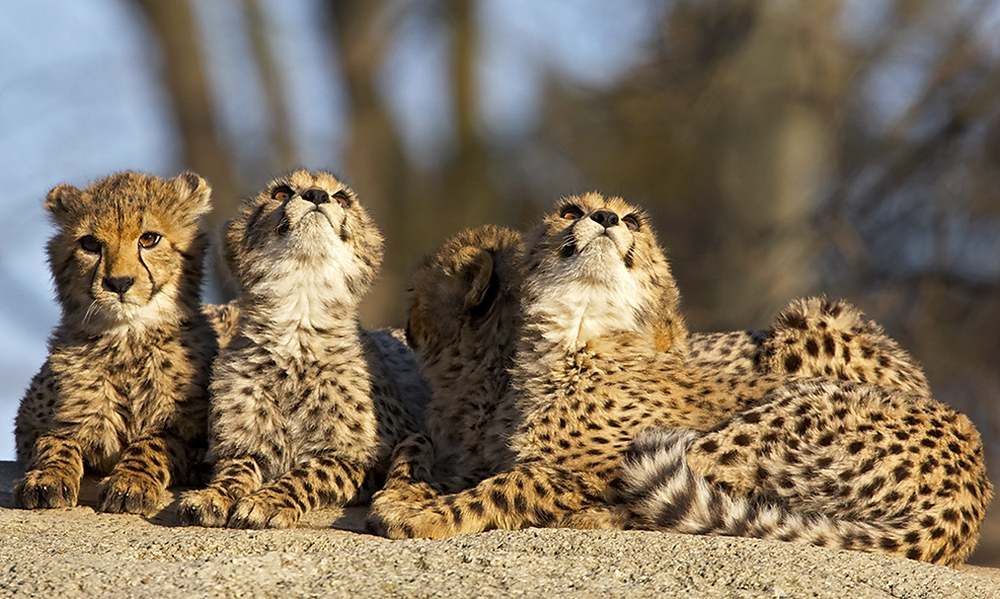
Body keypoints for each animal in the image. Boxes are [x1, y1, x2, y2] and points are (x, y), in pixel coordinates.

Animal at [14, 172, 237, 516]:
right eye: (90, 244)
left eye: (149, 239)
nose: (118, 283)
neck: (127, 340)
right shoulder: (28, 425)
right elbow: (54, 439)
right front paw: (47, 477)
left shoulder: (195, 435)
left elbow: (155, 441)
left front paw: (131, 482)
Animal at [179, 170, 426, 528]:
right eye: (281, 194)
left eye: (342, 199)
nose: (317, 195)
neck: (298, 318)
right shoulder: (241, 446)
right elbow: (235, 468)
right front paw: (214, 495)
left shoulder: (365, 460)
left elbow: (311, 471)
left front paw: (265, 501)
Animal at [370, 193, 992, 568]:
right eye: (571, 210)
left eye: (633, 221)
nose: (605, 220)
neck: (577, 330)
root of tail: (970, 493)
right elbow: (422, 450)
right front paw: (405, 492)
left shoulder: (589, 468)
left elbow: (512, 484)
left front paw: (425, 515)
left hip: (756, 420)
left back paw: (590, 517)